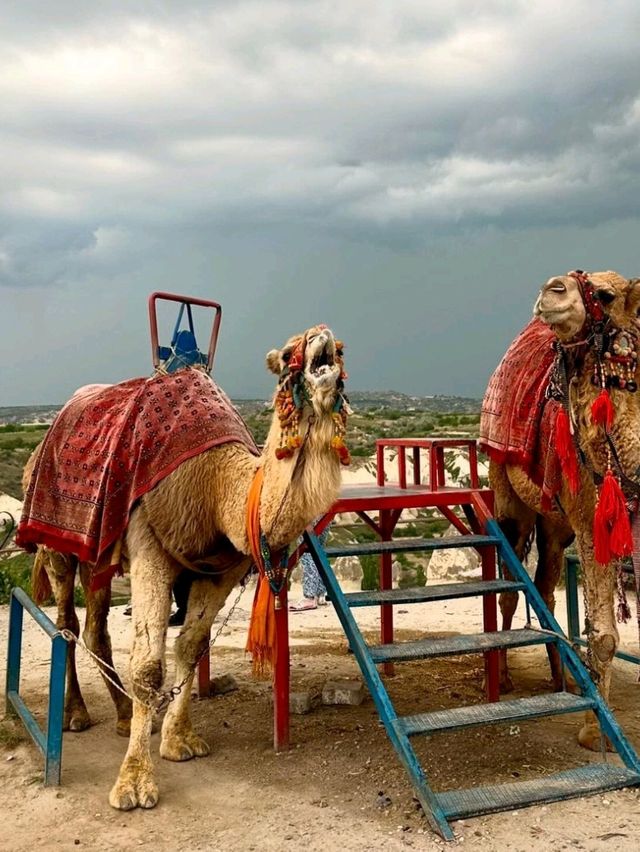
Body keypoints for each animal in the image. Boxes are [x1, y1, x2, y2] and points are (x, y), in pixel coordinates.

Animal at [480, 270, 640, 748]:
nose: (551, 289)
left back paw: (562, 678)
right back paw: (503, 679)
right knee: (511, 588)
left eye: (606, 295)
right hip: (507, 492)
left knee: (545, 586)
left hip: (554, 523)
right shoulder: (592, 519)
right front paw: (595, 730)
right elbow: (602, 634)